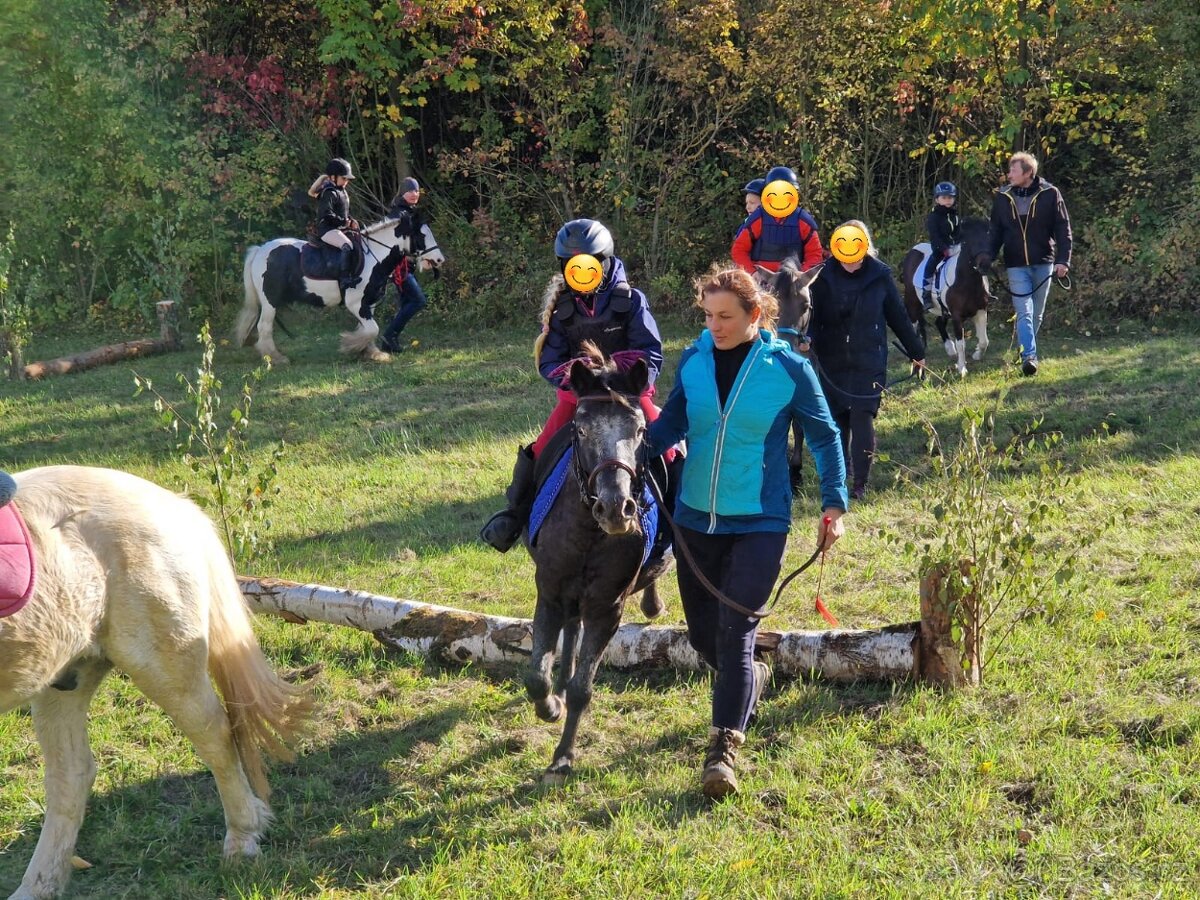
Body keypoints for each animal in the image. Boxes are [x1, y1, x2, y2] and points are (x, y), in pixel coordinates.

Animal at [0, 466, 312, 900]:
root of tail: (171, 504)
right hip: (62, 678)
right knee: (71, 775)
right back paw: (39, 886)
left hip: (164, 666)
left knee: (217, 737)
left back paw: (242, 839)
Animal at [235, 216, 445, 365]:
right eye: (421, 236)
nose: (440, 260)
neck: (374, 257)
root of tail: (260, 250)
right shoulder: (355, 303)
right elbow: (372, 329)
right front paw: (350, 345)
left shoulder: (369, 303)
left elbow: (369, 329)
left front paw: (371, 352)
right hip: (270, 302)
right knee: (264, 327)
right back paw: (276, 358)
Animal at [523, 348, 670, 784]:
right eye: (583, 430)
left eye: (639, 430)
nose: (616, 508)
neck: (589, 530)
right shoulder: (550, 594)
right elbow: (536, 676)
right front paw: (550, 705)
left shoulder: (606, 608)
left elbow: (582, 689)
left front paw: (562, 758)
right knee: (570, 632)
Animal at [901, 217, 992, 377]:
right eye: (968, 241)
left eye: (988, 236)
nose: (985, 264)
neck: (966, 281)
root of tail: (913, 251)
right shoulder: (956, 316)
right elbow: (961, 344)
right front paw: (962, 369)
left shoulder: (981, 311)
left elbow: (984, 341)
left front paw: (976, 355)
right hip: (912, 302)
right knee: (913, 326)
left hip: (942, 309)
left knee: (939, 323)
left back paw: (950, 350)